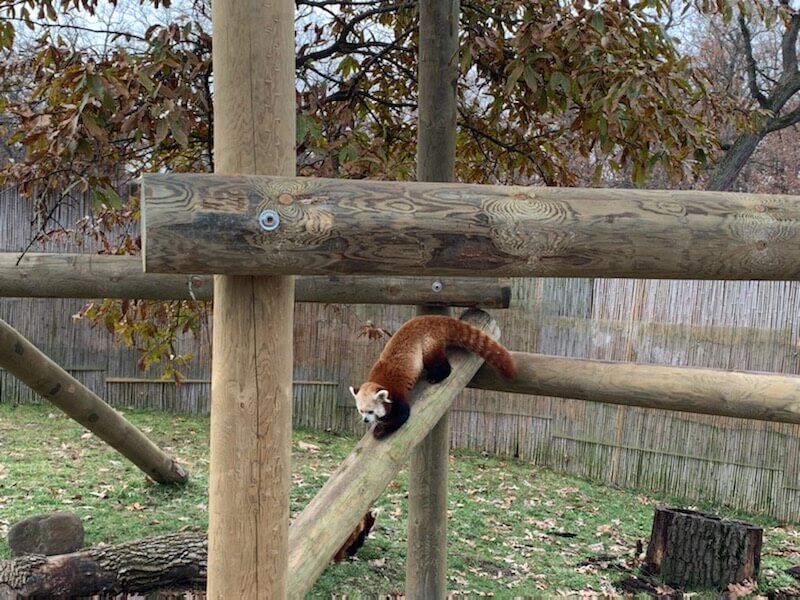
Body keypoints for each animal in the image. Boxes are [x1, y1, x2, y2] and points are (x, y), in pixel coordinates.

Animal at [350, 314, 520, 440]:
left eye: (370, 411)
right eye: (361, 411)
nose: (365, 420)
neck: (378, 381)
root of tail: (432, 318)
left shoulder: (397, 392)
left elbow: (403, 415)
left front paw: (380, 429)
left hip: (428, 342)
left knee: (439, 364)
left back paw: (436, 376)